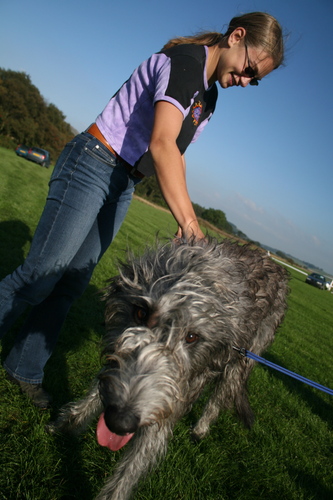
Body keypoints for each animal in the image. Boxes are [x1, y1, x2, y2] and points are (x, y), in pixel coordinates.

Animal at [46, 238, 288, 500]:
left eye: (192, 337)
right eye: (140, 312)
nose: (120, 421)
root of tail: (275, 263)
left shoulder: (172, 398)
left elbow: (132, 468)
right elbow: (98, 391)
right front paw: (64, 425)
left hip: (243, 359)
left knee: (219, 396)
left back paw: (200, 429)